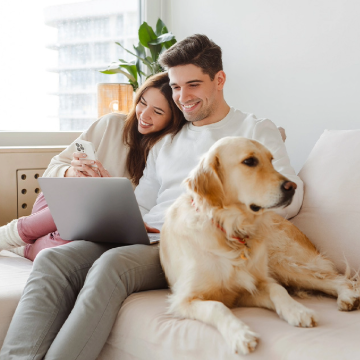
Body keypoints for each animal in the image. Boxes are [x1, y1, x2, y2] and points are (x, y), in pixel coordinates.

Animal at [161, 137, 360, 354]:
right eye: (249, 161)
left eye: (271, 160)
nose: (292, 186)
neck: (231, 232)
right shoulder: (184, 300)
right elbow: (217, 306)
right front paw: (240, 334)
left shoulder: (251, 286)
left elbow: (277, 289)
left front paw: (297, 311)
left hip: (283, 263)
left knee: (337, 279)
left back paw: (348, 296)